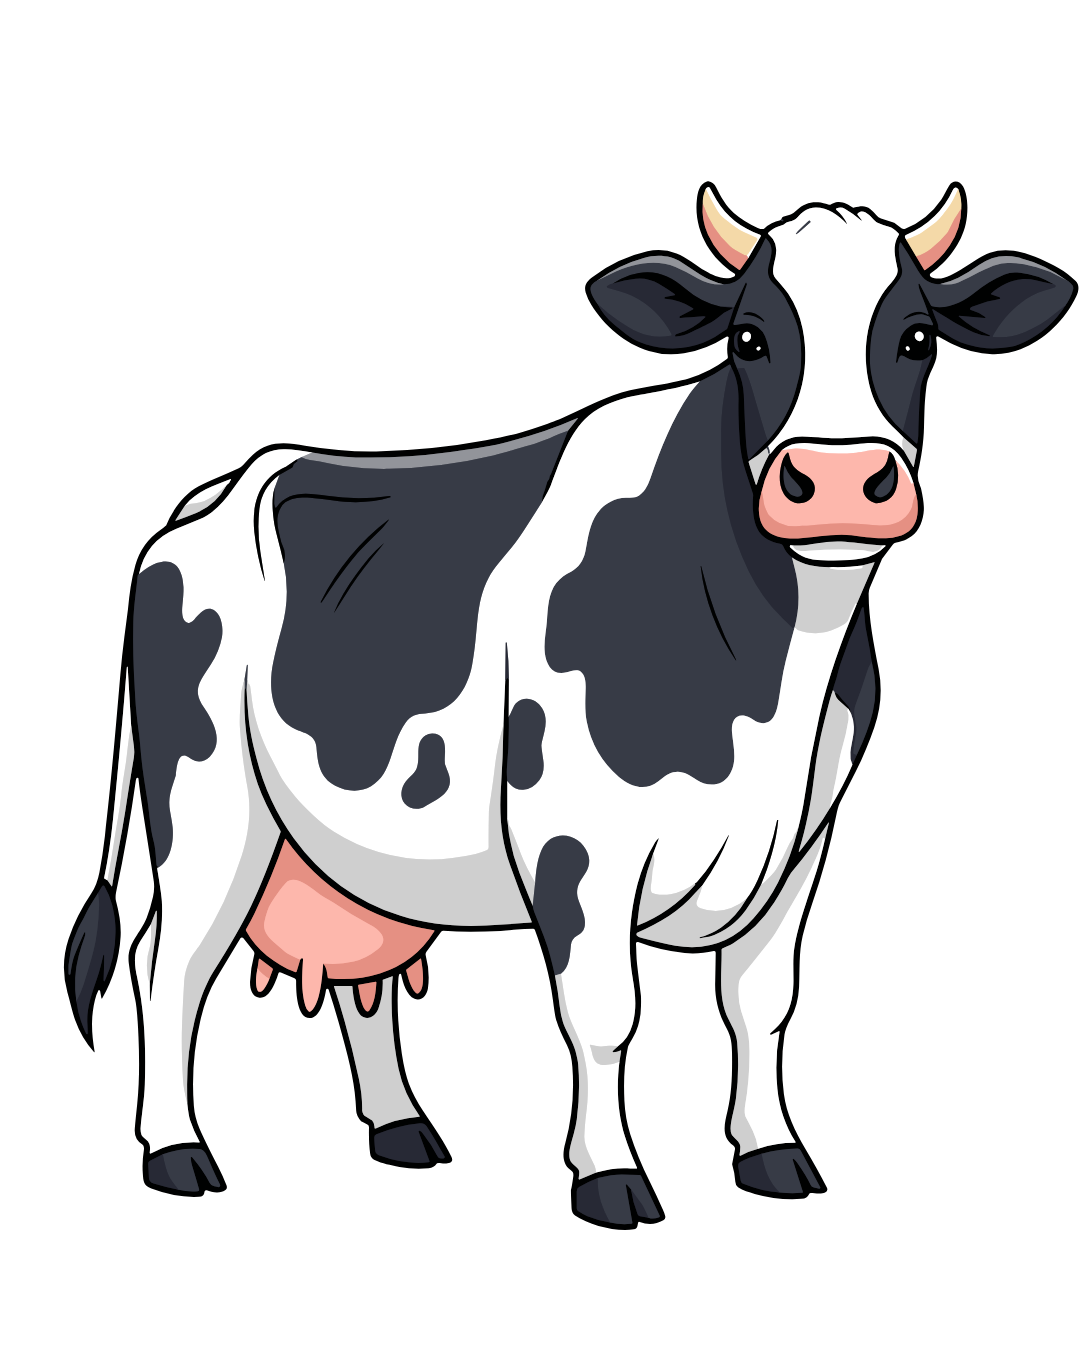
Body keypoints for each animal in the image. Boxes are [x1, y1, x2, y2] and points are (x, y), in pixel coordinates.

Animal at [69, 187, 1070, 1221]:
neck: (771, 684)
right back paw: (175, 1149)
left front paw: (772, 1151)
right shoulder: (580, 839)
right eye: (750, 338)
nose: (837, 486)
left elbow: (761, 1004)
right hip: (209, 805)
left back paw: (398, 1126)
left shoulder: (803, 843)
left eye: (915, 338)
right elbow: (604, 1013)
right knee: (167, 962)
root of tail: (221, 492)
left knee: (359, 968)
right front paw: (611, 1173)